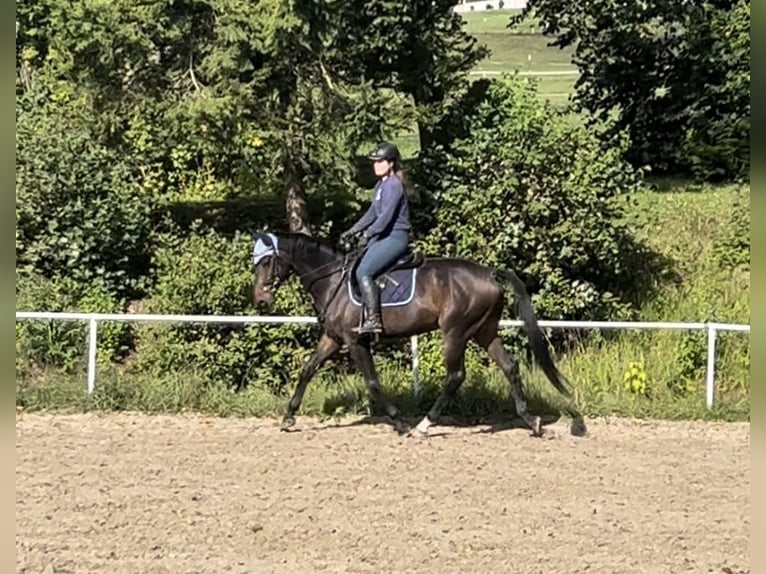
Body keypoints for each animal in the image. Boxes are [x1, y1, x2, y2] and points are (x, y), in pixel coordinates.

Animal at [252, 232, 588, 438]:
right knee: (510, 366)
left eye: (267, 261)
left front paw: (400, 422)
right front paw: (288, 418)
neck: (333, 279)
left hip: (455, 332)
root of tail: (489, 273)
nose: (261, 300)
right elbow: (308, 370)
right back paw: (531, 422)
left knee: (456, 376)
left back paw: (425, 424)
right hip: (484, 331)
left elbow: (372, 382)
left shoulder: (355, 341)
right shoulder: (333, 338)